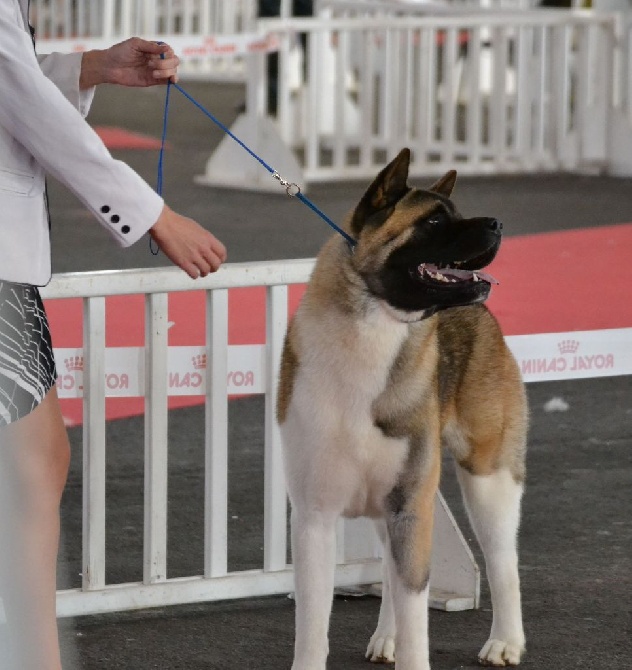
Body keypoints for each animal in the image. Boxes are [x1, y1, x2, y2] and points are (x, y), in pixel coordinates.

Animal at [276, 150, 528, 668]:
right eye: (432, 220)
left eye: (456, 213)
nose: (496, 223)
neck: (373, 327)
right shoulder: (314, 516)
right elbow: (312, 620)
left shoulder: (410, 507)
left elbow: (417, 613)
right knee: (391, 576)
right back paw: (385, 636)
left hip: (488, 477)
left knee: (503, 563)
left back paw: (506, 642)